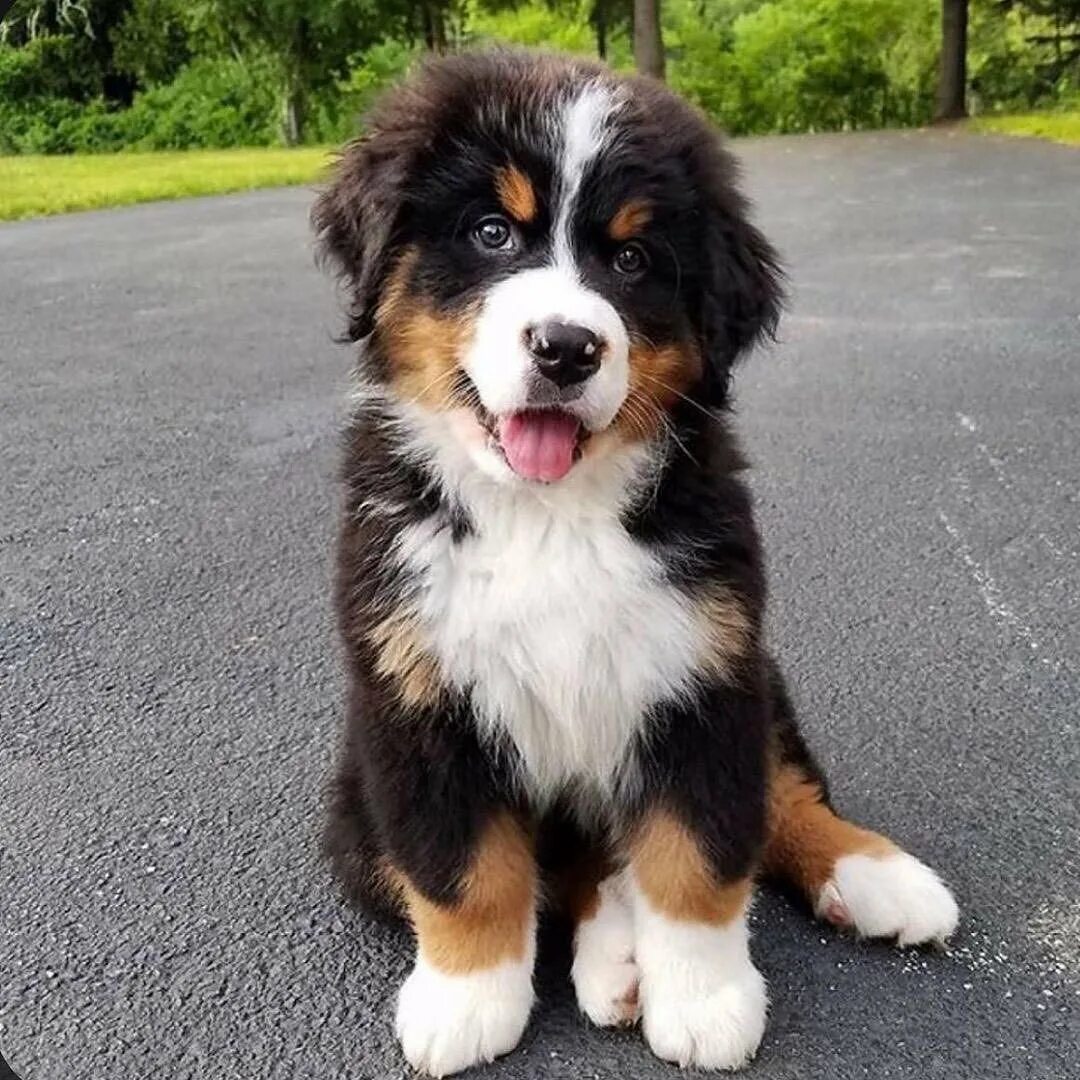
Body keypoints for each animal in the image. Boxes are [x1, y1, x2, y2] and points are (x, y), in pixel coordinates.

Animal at [315, 48, 963, 1071]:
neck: (548, 515)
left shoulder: (702, 671)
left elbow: (700, 852)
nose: (566, 347)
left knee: (778, 794)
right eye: (492, 232)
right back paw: (614, 957)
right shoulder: (415, 700)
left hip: (757, 673)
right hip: (353, 810)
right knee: (572, 867)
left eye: (630, 259)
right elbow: (465, 868)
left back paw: (876, 876)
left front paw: (704, 1001)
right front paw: (465, 999)